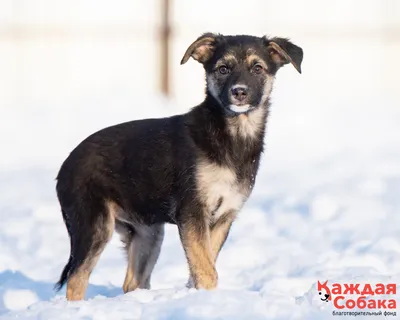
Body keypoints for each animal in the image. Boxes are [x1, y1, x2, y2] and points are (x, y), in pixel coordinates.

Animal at [54, 32, 304, 300]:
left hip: (147, 233)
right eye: (223, 69)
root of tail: (64, 167)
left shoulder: (224, 216)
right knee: (76, 279)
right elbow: (207, 270)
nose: (239, 92)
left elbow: (203, 265)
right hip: (95, 224)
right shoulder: (192, 211)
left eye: (258, 68)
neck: (231, 135)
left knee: (132, 282)